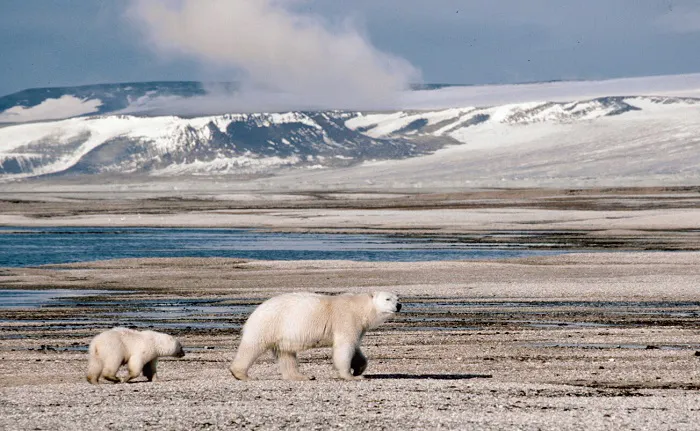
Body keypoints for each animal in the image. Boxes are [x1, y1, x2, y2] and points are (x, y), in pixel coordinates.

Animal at [229, 291, 401, 381]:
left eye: (397, 298)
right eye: (387, 299)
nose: (399, 305)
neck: (360, 308)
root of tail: (255, 311)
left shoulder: (357, 326)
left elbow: (355, 348)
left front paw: (359, 369)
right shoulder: (346, 319)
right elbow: (344, 347)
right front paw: (351, 376)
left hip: (281, 334)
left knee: (286, 354)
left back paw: (302, 376)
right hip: (268, 324)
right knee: (252, 347)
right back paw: (241, 374)